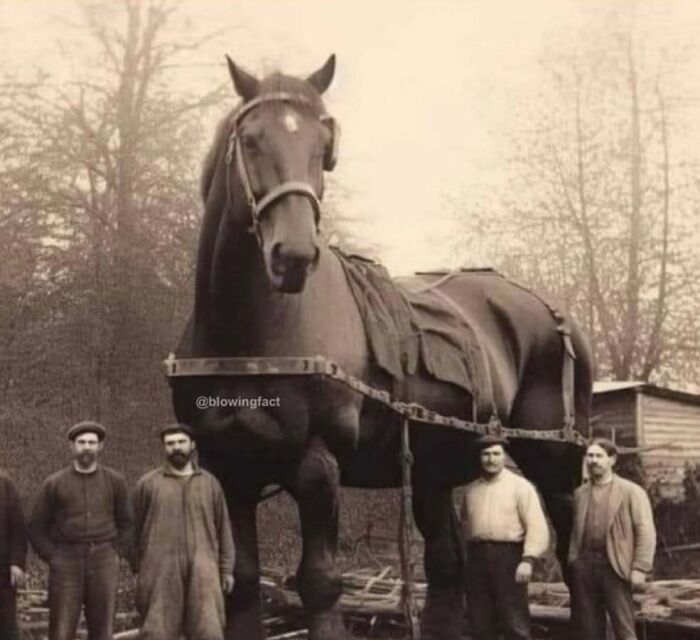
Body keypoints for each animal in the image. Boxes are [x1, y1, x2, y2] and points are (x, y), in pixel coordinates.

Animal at [170, 54, 593, 640]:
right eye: (251, 140)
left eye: (325, 147)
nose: (293, 255)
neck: (248, 337)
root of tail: (555, 313)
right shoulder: (230, 466)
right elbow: (245, 581)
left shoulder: (317, 465)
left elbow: (319, 583)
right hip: (436, 469)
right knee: (447, 566)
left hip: (554, 464)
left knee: (576, 564)